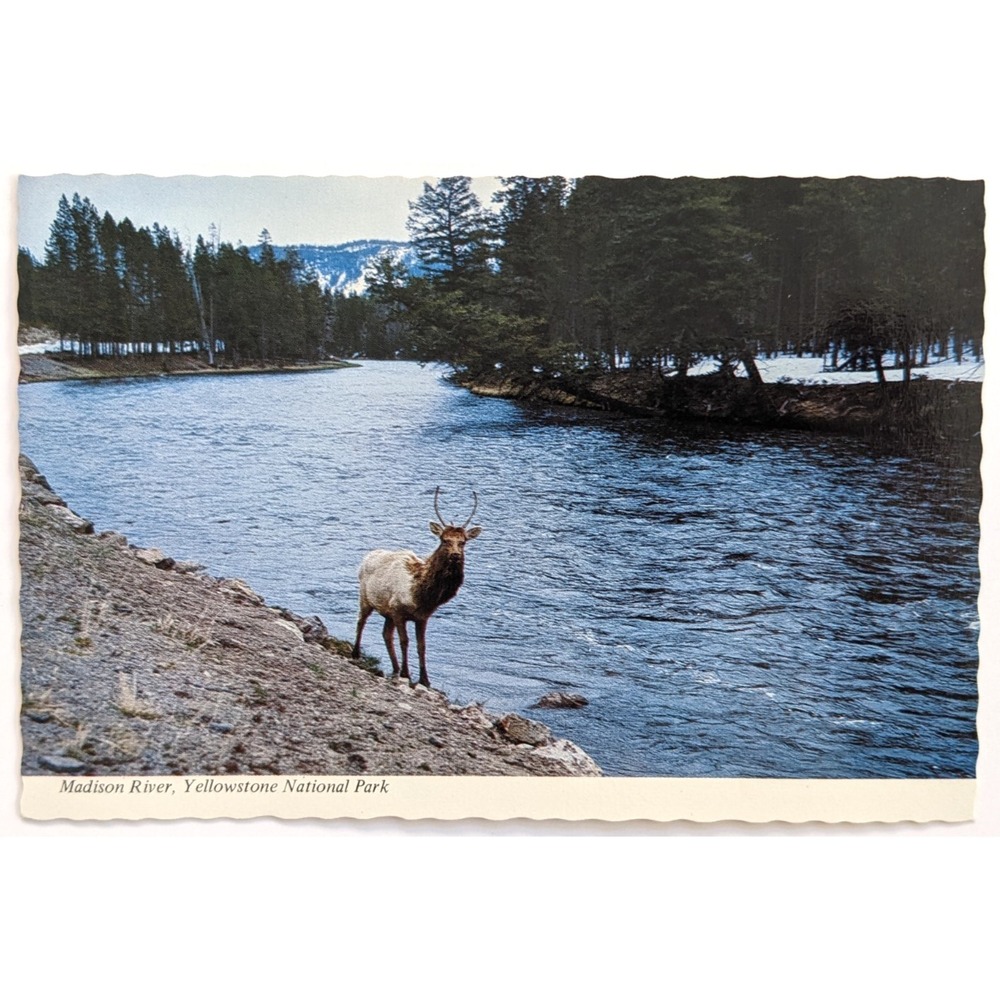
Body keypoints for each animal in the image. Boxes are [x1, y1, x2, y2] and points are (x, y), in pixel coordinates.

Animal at [352, 488, 482, 688]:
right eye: (444, 540)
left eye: (463, 542)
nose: (455, 555)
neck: (421, 596)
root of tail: (368, 556)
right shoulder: (398, 610)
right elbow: (405, 641)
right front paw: (406, 674)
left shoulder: (422, 617)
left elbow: (422, 646)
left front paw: (425, 679)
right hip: (365, 598)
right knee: (361, 621)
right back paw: (356, 653)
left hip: (386, 611)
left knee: (386, 634)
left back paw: (395, 668)